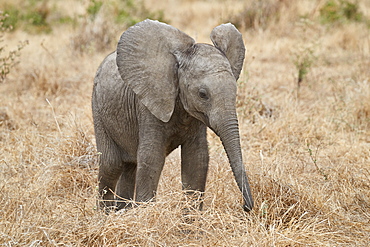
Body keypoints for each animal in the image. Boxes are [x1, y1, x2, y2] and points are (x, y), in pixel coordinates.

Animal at [92, 19, 254, 212]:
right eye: (202, 94)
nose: (245, 206)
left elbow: (197, 158)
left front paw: (190, 219)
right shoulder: (149, 105)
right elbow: (151, 158)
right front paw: (147, 214)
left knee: (130, 166)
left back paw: (123, 212)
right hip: (98, 108)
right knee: (111, 164)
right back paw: (106, 215)